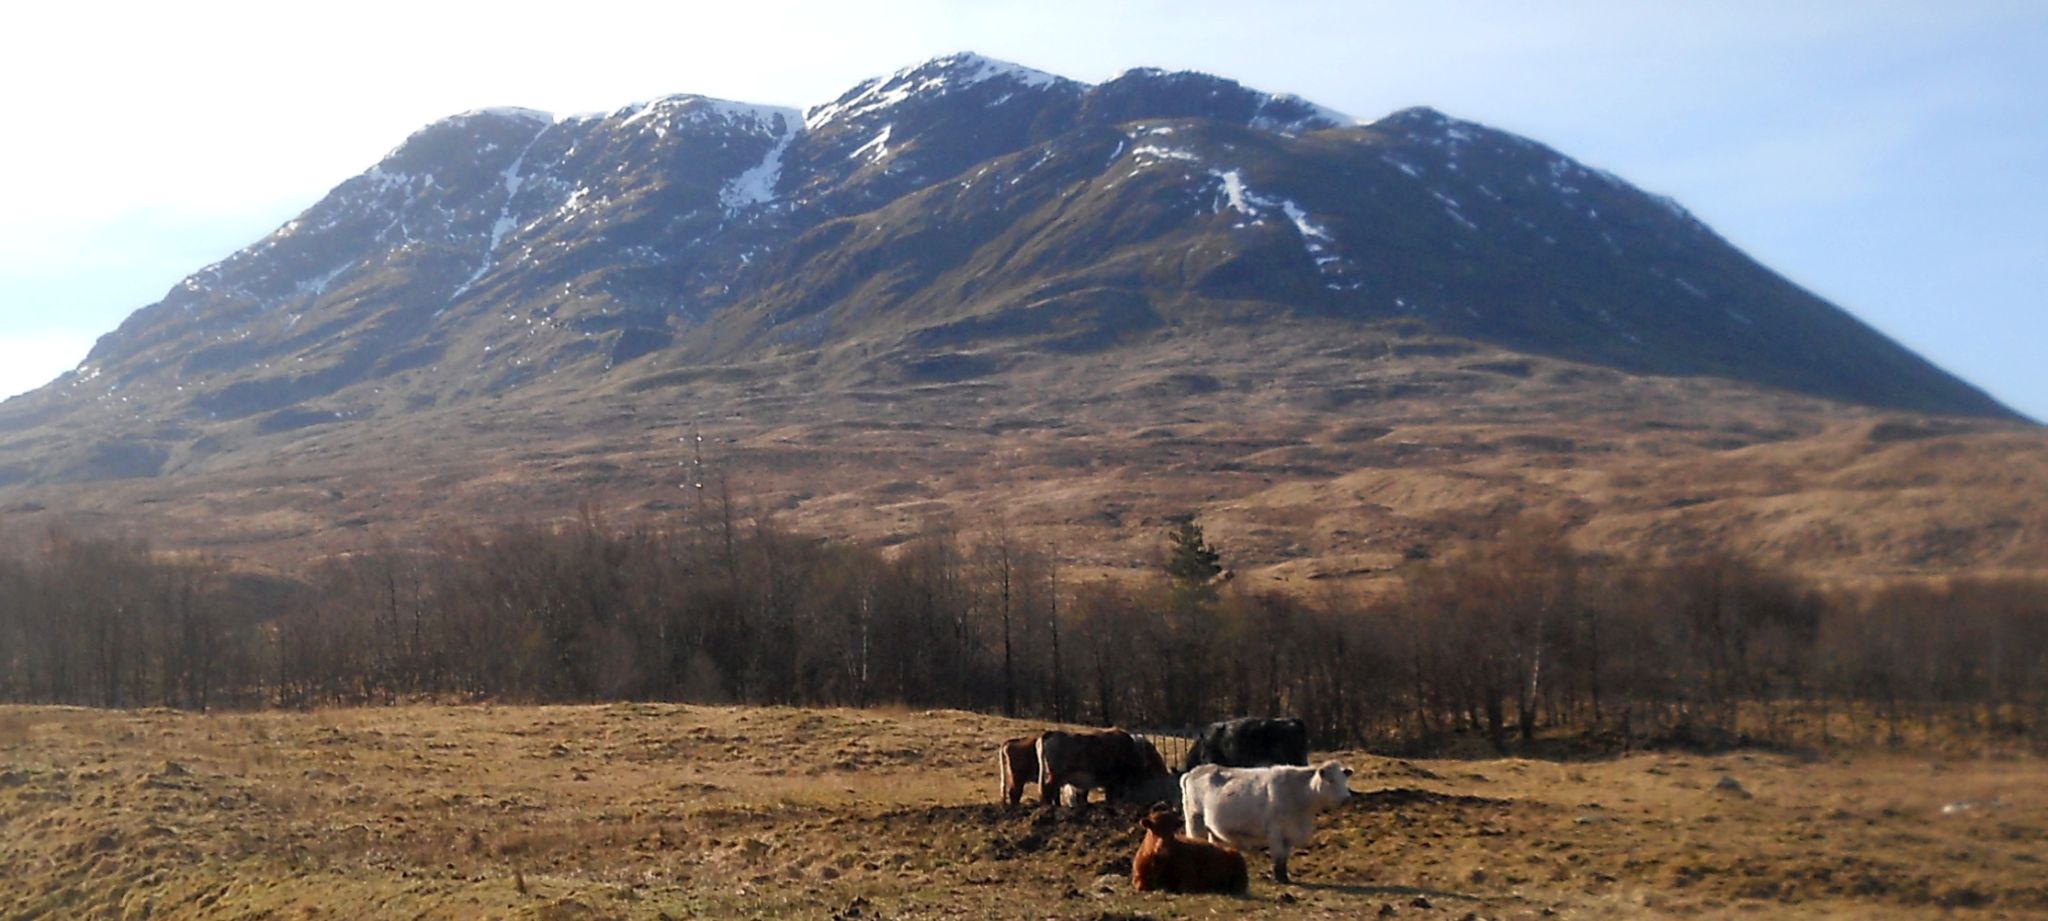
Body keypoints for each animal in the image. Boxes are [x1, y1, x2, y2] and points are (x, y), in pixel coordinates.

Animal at [1179, 757, 1351, 880]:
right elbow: (1278, 856)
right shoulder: (1275, 831)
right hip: (1194, 819)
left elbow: (1284, 857)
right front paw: (1280, 878)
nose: (1347, 799)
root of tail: (1192, 772)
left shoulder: (1289, 834)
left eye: (1344, 780)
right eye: (1331, 780)